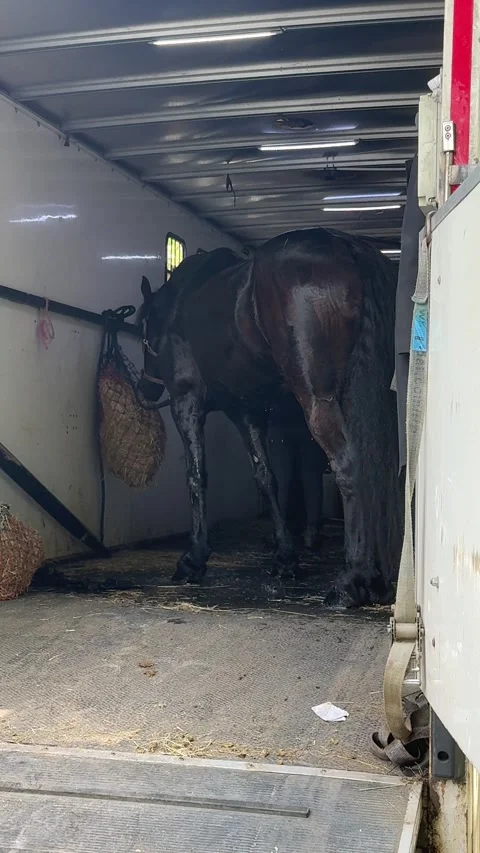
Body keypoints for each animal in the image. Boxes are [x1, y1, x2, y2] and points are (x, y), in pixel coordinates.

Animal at [138, 228, 403, 607]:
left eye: (142, 329)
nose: (144, 391)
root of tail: (346, 245)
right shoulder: (245, 411)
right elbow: (266, 477)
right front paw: (285, 557)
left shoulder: (186, 402)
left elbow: (197, 476)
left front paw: (194, 559)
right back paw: (373, 578)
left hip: (318, 400)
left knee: (348, 466)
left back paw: (351, 580)